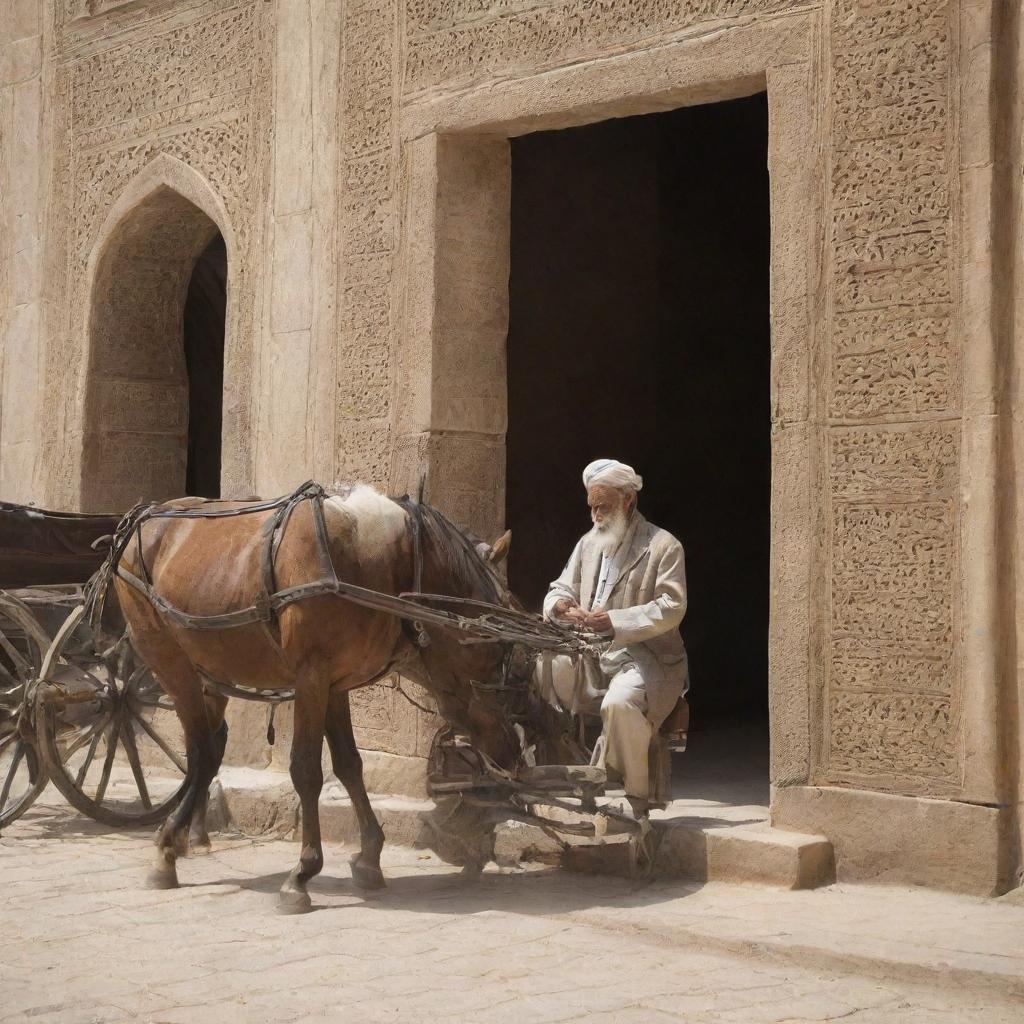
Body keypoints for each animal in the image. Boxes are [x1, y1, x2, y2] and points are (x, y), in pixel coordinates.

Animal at [112, 481, 569, 913]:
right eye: (504, 648)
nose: (514, 756)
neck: (375, 563)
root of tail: (145, 515)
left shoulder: (335, 684)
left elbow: (350, 765)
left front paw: (368, 858)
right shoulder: (311, 678)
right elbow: (306, 771)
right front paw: (301, 874)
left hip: (211, 668)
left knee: (209, 749)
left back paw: (185, 837)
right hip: (168, 658)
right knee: (202, 751)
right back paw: (168, 846)